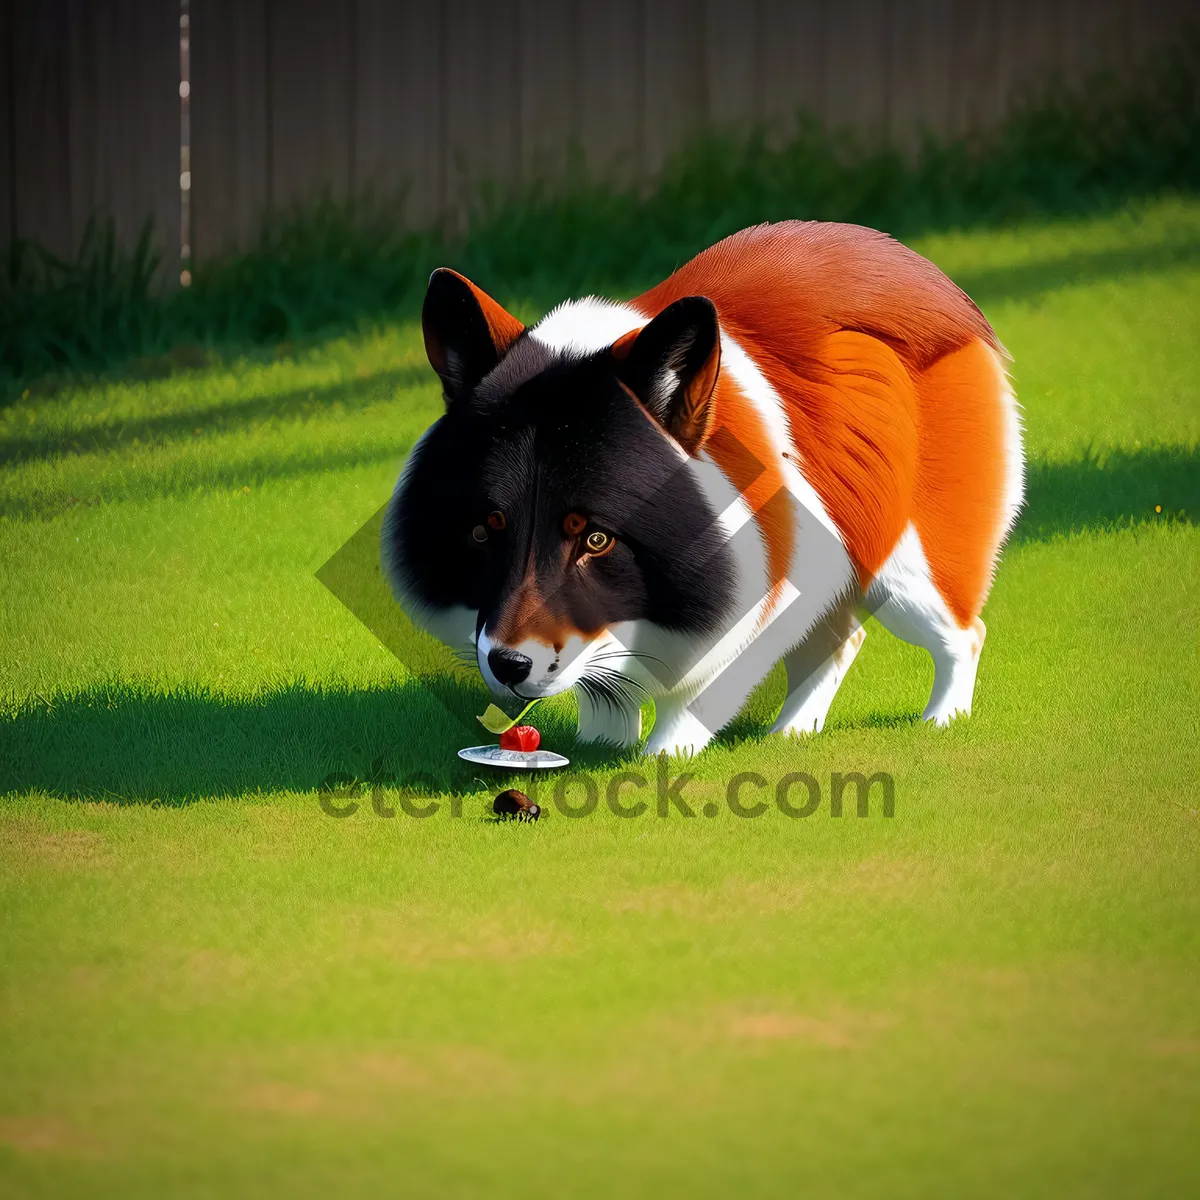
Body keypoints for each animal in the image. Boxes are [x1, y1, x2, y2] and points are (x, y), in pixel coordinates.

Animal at [384, 220, 1022, 753]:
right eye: (486, 530)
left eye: (595, 539)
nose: (509, 665)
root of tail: (923, 277)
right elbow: (606, 692)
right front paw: (602, 747)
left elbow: (692, 700)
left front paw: (660, 761)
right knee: (840, 641)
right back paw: (791, 733)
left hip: (907, 573)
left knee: (963, 634)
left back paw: (941, 721)